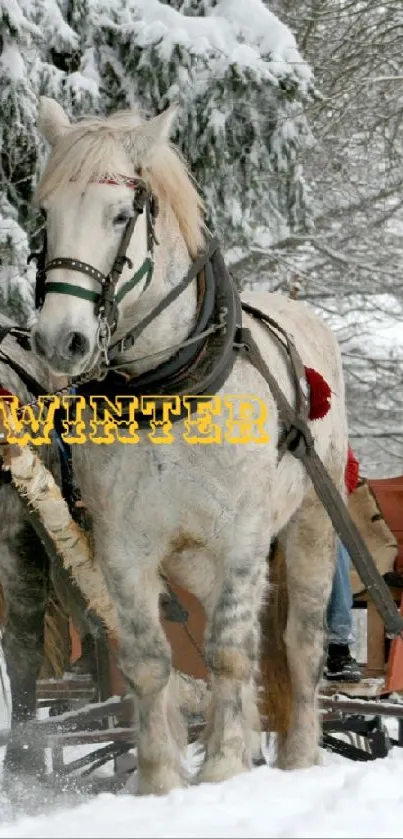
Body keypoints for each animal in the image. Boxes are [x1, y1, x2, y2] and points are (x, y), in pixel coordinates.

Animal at [30, 95, 349, 795]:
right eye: (45, 214)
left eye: (121, 214)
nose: (60, 340)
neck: (165, 394)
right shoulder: (124, 547)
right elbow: (150, 660)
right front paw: (159, 781)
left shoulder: (243, 537)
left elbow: (229, 651)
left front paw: (224, 768)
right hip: (195, 560)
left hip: (312, 522)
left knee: (299, 642)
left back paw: (298, 756)